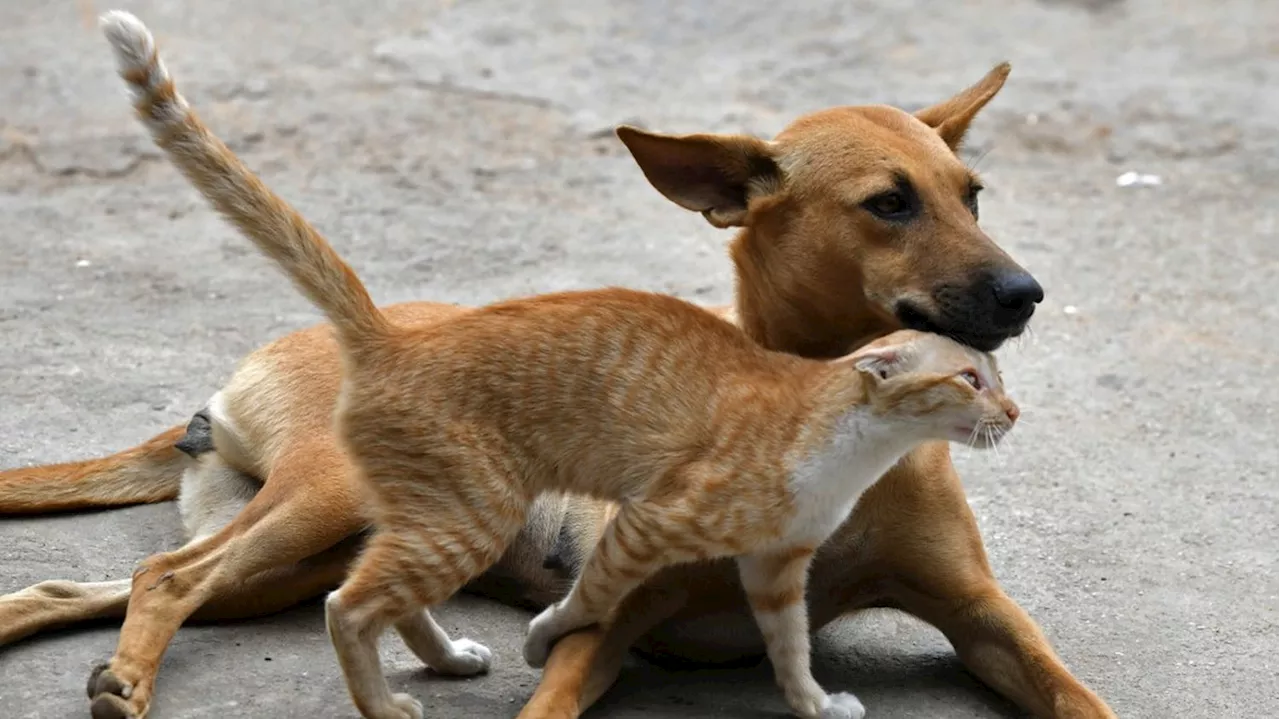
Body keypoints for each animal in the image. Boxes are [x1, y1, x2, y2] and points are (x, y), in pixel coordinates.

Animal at [0, 35, 1105, 716]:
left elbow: (1075, 690)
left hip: (313, 554)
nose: (1025, 293)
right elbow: (554, 692)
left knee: (95, 586)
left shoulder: (981, 614)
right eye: (888, 204)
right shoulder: (609, 616)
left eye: (971, 193)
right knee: (166, 576)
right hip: (322, 507)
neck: (834, 408)